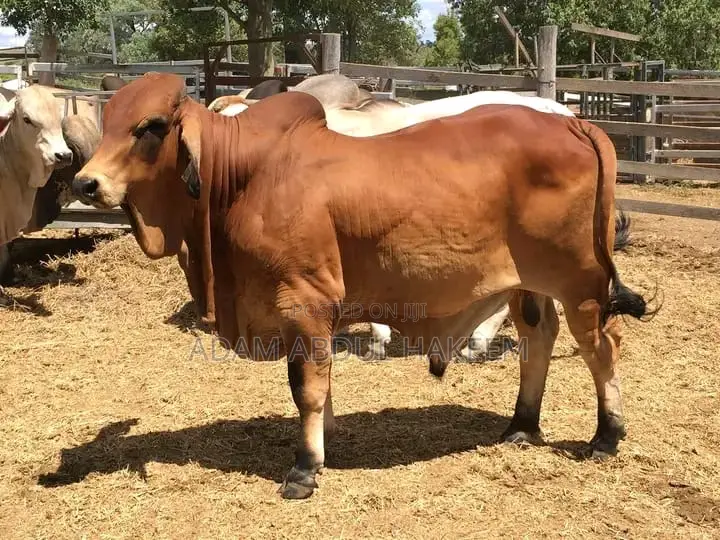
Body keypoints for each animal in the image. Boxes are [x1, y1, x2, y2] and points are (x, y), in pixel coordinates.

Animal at [74, 73, 655, 499]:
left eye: (150, 126)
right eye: (109, 119)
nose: (86, 182)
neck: (241, 177)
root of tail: (575, 122)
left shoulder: (304, 300)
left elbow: (306, 387)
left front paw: (306, 467)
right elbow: (319, 379)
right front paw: (327, 437)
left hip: (580, 279)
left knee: (602, 346)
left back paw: (606, 436)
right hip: (528, 283)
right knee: (539, 338)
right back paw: (521, 424)